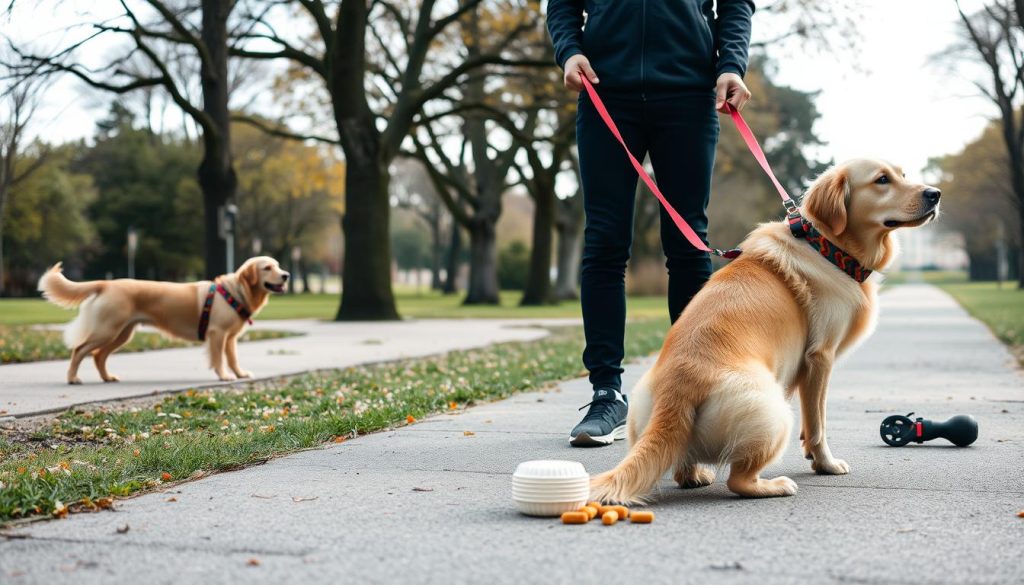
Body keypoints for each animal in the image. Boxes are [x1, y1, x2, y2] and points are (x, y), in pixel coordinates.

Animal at [36, 256, 288, 385]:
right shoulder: (217, 334)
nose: (286, 275)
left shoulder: (230, 338)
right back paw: (72, 378)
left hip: (121, 333)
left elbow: (233, 358)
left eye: (278, 265)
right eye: (267, 267)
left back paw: (107, 377)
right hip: (106, 330)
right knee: (79, 350)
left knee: (99, 356)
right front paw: (224, 376)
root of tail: (106, 283)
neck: (236, 292)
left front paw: (240, 374)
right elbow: (218, 359)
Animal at [593, 158, 942, 504]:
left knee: (684, 467)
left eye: (902, 174)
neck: (826, 246)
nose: (935, 194)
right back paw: (774, 485)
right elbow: (818, 424)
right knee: (738, 480)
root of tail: (676, 391)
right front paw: (826, 464)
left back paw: (696, 475)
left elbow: (811, 425)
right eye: (882, 180)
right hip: (775, 414)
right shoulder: (820, 358)